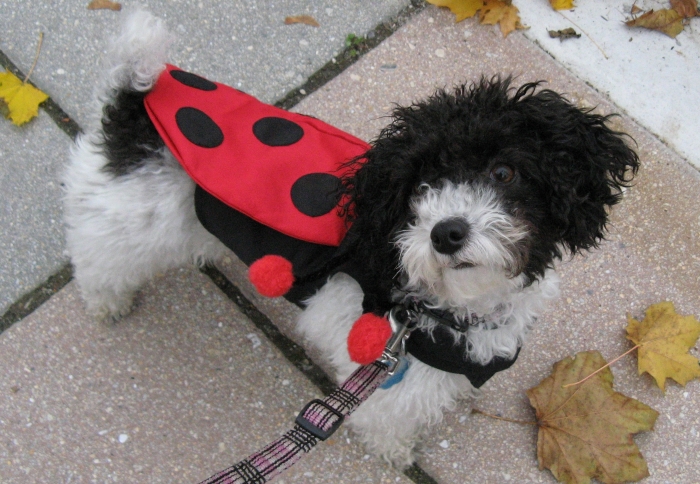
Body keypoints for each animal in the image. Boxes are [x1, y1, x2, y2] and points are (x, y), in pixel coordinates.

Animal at [65, 8, 640, 468]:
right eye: (418, 190)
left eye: (503, 172)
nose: (446, 232)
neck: (448, 308)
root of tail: (140, 96)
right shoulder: (383, 369)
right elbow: (387, 420)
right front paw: (397, 454)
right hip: (127, 219)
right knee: (95, 256)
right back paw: (107, 301)